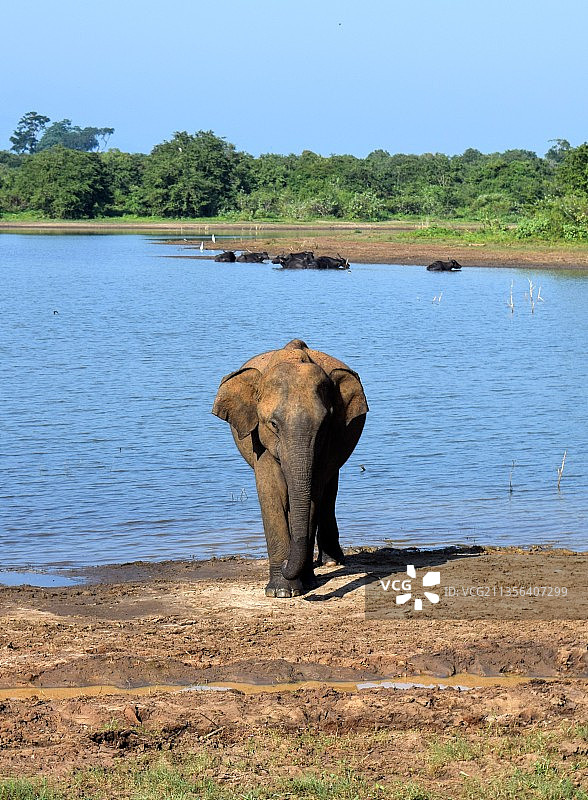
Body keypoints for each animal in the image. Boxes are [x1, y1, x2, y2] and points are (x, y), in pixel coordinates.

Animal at [212, 339, 368, 598]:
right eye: (273, 424)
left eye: (324, 424)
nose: (287, 564)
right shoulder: (260, 440)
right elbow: (271, 491)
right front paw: (281, 591)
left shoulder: (326, 443)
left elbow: (313, 493)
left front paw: (306, 583)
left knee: (329, 493)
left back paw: (331, 562)